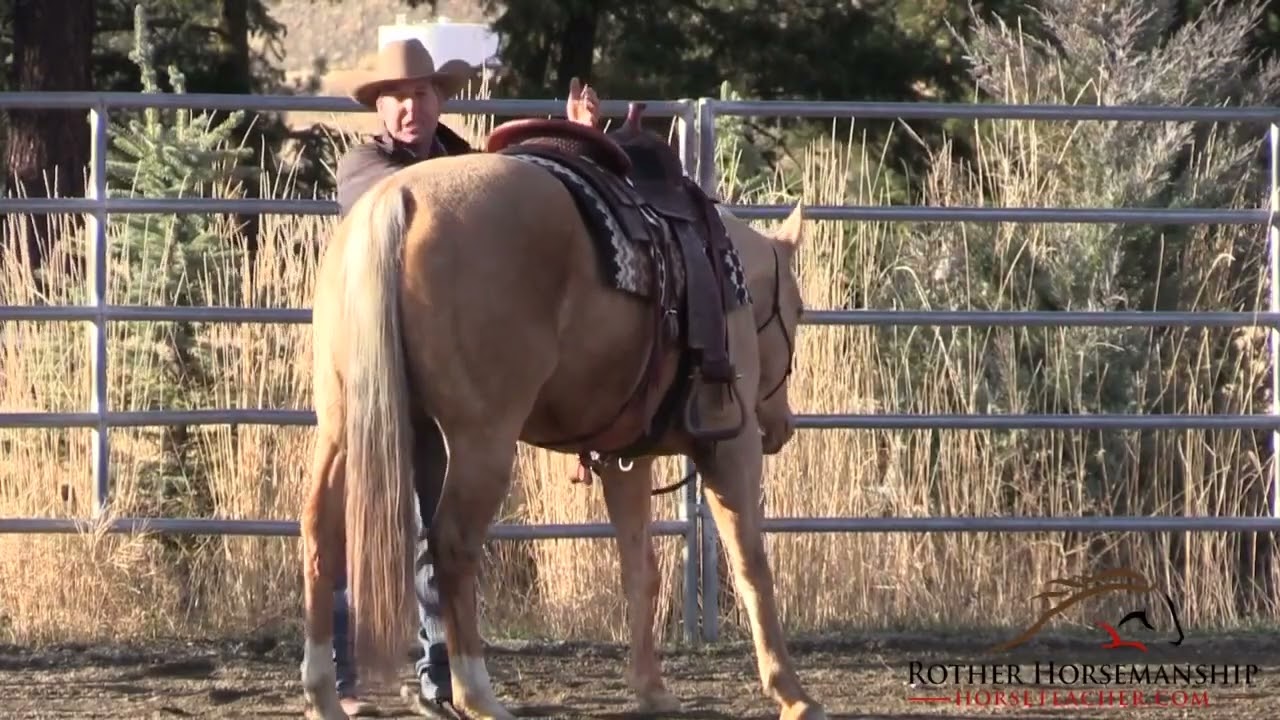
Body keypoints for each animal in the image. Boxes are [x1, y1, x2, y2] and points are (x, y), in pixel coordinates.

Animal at [298, 111, 823, 720]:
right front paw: (792, 693)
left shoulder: (626, 458)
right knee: (452, 543)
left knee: (321, 529)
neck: (715, 272)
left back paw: (323, 693)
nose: (780, 426)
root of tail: (398, 198)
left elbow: (640, 569)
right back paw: (478, 694)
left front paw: (652, 689)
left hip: (346, 426)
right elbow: (751, 563)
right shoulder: (728, 448)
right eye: (798, 309)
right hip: (482, 440)